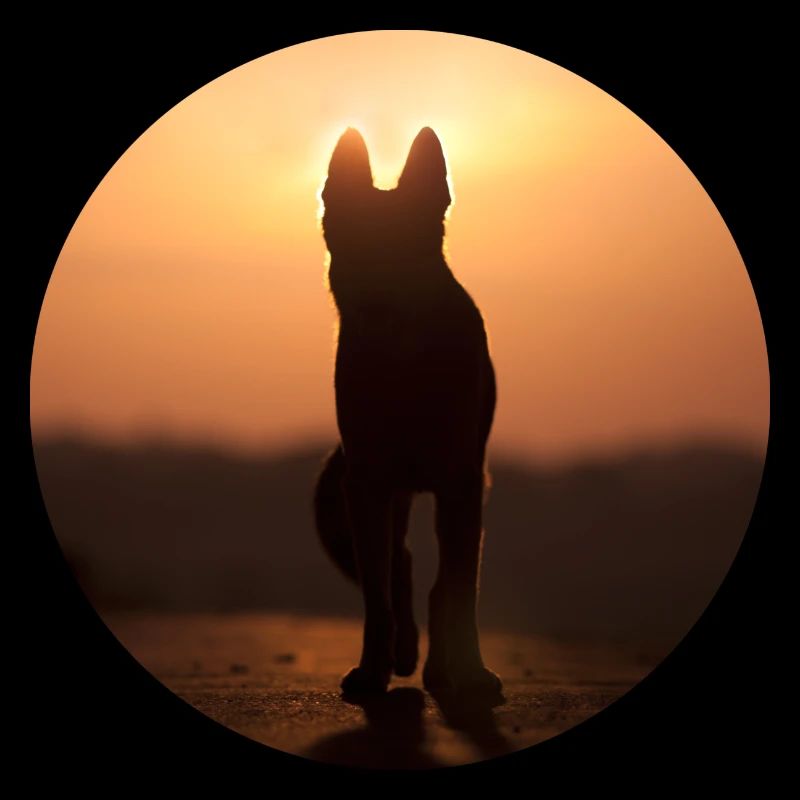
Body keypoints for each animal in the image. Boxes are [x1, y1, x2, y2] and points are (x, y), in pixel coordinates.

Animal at [314, 127, 501, 697]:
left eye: (407, 252)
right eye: (355, 248)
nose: (377, 309)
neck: (406, 367)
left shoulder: (462, 483)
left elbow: (459, 588)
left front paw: (471, 671)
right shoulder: (367, 485)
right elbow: (380, 595)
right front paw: (372, 669)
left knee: (435, 580)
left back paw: (441, 666)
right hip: (368, 500)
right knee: (401, 571)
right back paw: (404, 653)